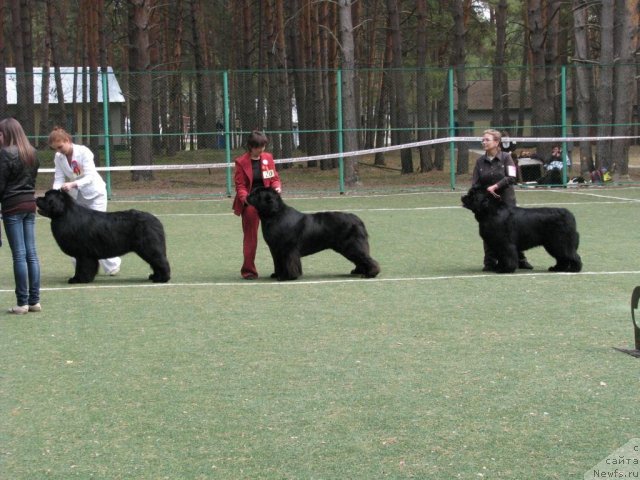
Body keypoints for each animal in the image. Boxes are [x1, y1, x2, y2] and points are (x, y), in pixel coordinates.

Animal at [36, 189, 171, 284]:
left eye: (46, 197)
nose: (37, 198)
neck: (65, 214)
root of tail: (156, 220)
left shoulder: (83, 254)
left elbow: (82, 267)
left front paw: (78, 279)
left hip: (148, 247)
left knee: (160, 261)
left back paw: (162, 278)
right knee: (156, 262)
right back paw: (155, 276)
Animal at [246, 186, 380, 280]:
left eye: (257, 194)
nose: (247, 195)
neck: (275, 215)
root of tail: (358, 220)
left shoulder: (287, 248)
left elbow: (288, 263)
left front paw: (287, 277)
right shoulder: (275, 249)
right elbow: (278, 262)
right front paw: (276, 274)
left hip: (352, 245)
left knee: (365, 258)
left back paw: (370, 274)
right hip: (348, 247)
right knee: (360, 258)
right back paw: (359, 271)